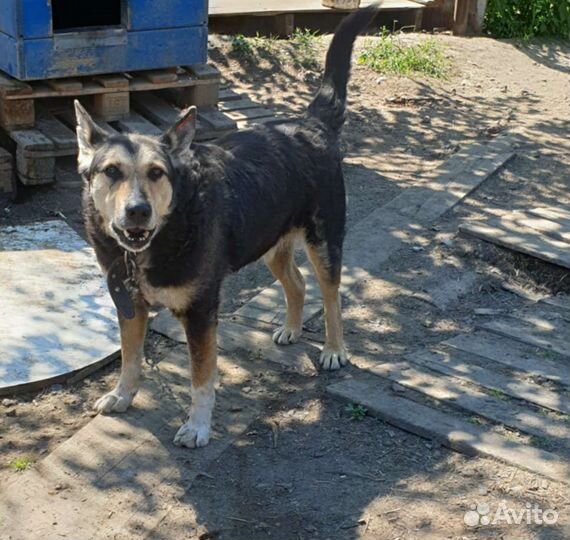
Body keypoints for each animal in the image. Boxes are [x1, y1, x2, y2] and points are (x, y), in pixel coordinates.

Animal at [75, 6, 378, 450]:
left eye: (157, 173)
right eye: (111, 171)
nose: (137, 212)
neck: (163, 235)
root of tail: (309, 125)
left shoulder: (201, 313)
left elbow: (202, 378)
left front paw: (198, 426)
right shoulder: (129, 304)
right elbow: (131, 359)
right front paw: (123, 395)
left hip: (324, 241)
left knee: (331, 295)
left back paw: (334, 349)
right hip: (271, 244)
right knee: (297, 283)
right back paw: (290, 329)